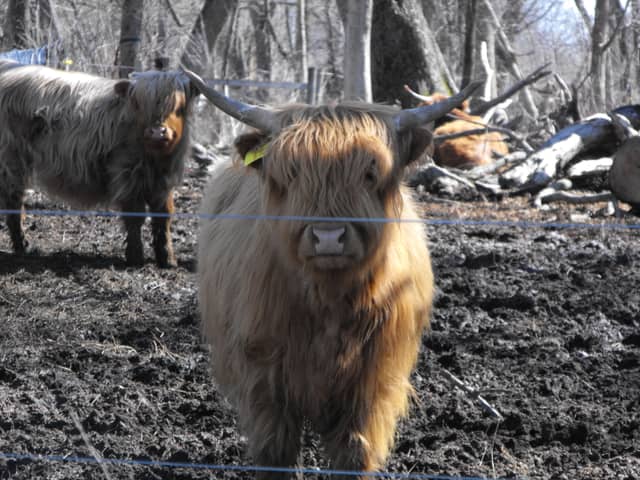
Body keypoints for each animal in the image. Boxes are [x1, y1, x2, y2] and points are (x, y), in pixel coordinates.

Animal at [0, 59, 198, 267]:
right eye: (138, 105)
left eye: (179, 106)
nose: (157, 132)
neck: (156, 159)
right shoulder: (128, 175)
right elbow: (135, 215)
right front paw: (135, 257)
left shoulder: (163, 182)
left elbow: (163, 217)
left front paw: (168, 259)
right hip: (11, 160)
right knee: (13, 201)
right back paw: (22, 247)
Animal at [187, 68, 480, 478]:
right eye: (292, 172)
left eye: (370, 173)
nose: (328, 237)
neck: (329, 301)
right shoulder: (263, 373)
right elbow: (275, 451)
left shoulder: (374, 380)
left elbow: (354, 453)